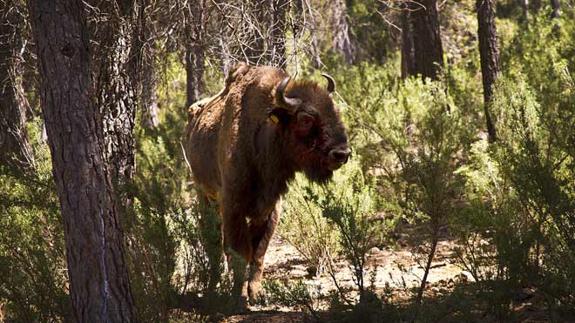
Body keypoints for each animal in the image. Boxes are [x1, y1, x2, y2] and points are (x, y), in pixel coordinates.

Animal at [183, 63, 352, 308]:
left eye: (335, 111)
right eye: (305, 119)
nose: (342, 153)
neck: (264, 132)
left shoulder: (270, 208)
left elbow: (258, 252)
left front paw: (257, 294)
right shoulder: (233, 205)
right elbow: (240, 252)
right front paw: (238, 298)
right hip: (203, 194)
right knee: (212, 241)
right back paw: (212, 289)